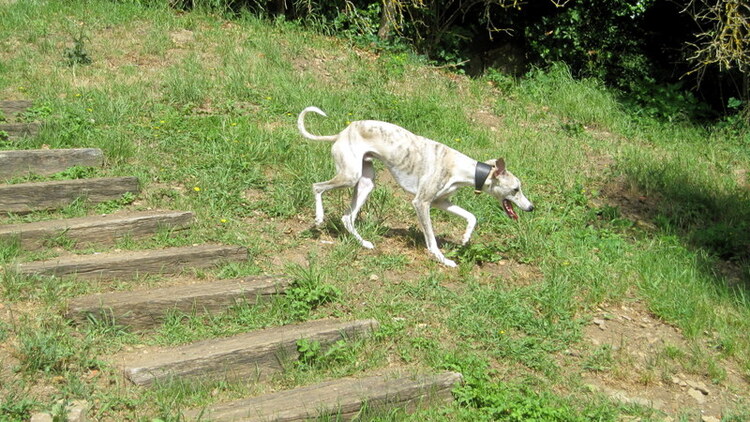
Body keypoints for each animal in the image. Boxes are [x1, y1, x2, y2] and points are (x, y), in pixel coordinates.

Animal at [300, 105, 536, 268]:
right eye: (516, 189)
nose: (531, 207)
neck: (460, 167)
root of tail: (343, 132)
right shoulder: (421, 202)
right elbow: (431, 239)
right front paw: (443, 260)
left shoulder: (441, 201)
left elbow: (471, 216)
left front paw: (465, 237)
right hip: (350, 176)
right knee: (316, 187)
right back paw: (319, 218)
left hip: (366, 182)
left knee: (347, 217)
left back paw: (364, 243)